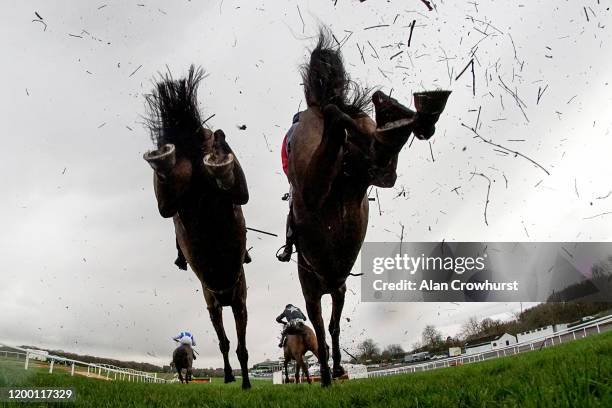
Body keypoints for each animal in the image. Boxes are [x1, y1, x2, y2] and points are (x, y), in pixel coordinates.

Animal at [143, 66, 251, 388]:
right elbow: (229, 344)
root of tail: (190, 144)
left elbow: (237, 346)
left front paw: (241, 379)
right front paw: (232, 377)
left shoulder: (236, 302)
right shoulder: (218, 304)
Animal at [286, 29, 450, 386]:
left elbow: (326, 329)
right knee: (378, 157)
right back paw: (402, 116)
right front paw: (332, 371)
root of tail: (316, 109)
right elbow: (328, 329)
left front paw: (330, 373)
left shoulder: (323, 291)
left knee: (344, 127)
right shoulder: (332, 289)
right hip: (364, 170)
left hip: (320, 184)